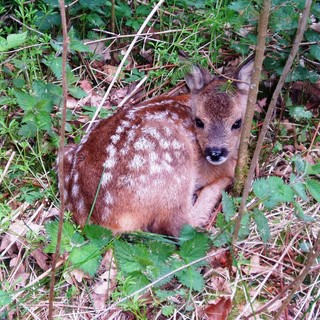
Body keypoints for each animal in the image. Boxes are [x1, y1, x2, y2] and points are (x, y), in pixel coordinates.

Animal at [58, 58, 254, 236]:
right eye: (199, 121)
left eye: (237, 123)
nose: (215, 153)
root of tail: (100, 220)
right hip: (175, 160)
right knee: (176, 226)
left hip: (65, 154)